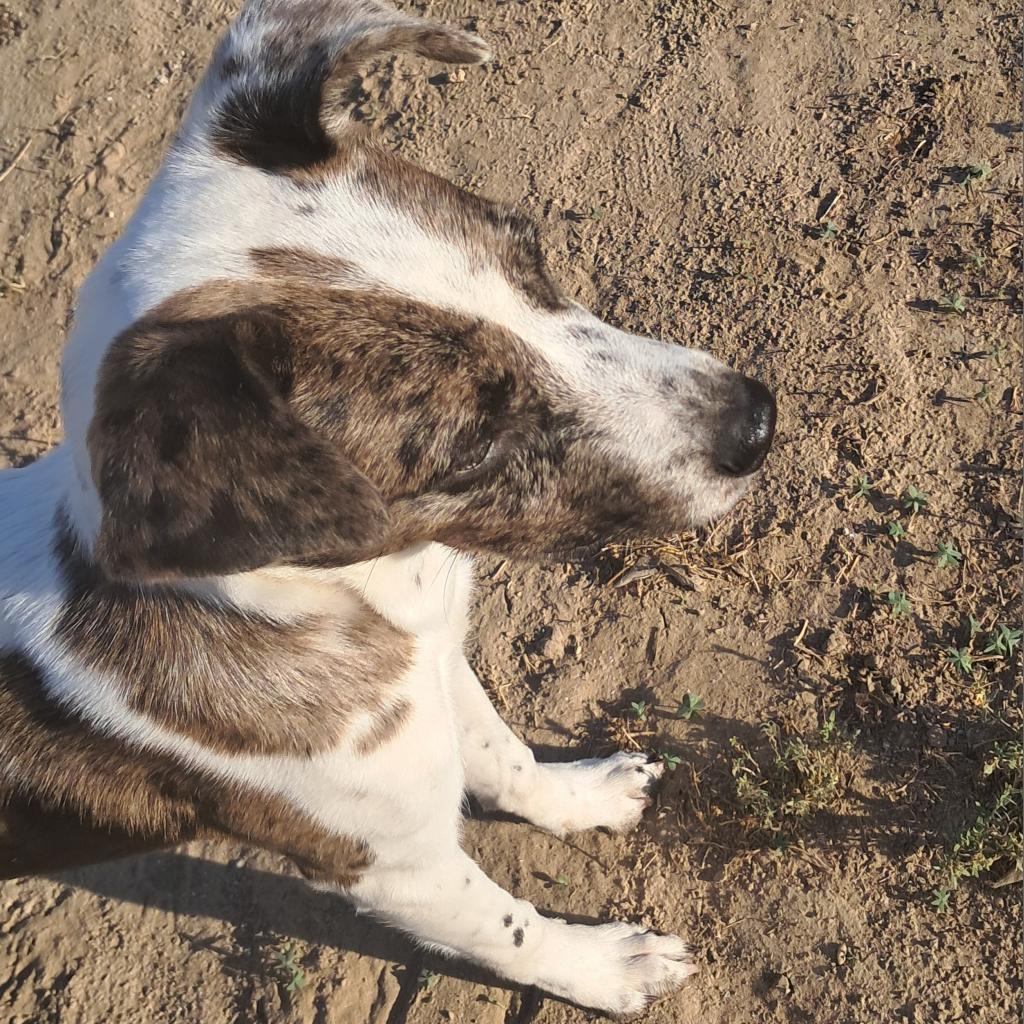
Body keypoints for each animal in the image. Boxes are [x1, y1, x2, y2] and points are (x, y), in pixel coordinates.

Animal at [0, 4, 774, 1019]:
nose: (757, 422)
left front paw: (586, 797)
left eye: (535, 256)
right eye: (472, 443)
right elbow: (511, 930)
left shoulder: (437, 669)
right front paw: (607, 967)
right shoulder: (391, 866)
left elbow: (505, 757)